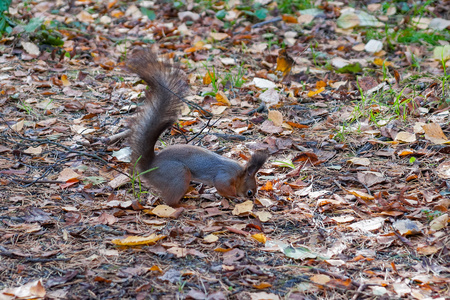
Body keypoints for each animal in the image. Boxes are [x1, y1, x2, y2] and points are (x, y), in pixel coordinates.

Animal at [125, 49, 268, 207]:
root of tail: (149, 168)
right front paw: (236, 197)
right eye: (249, 192)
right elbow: (222, 188)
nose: (253, 200)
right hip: (178, 174)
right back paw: (182, 205)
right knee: (170, 202)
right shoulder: (224, 177)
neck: (238, 174)